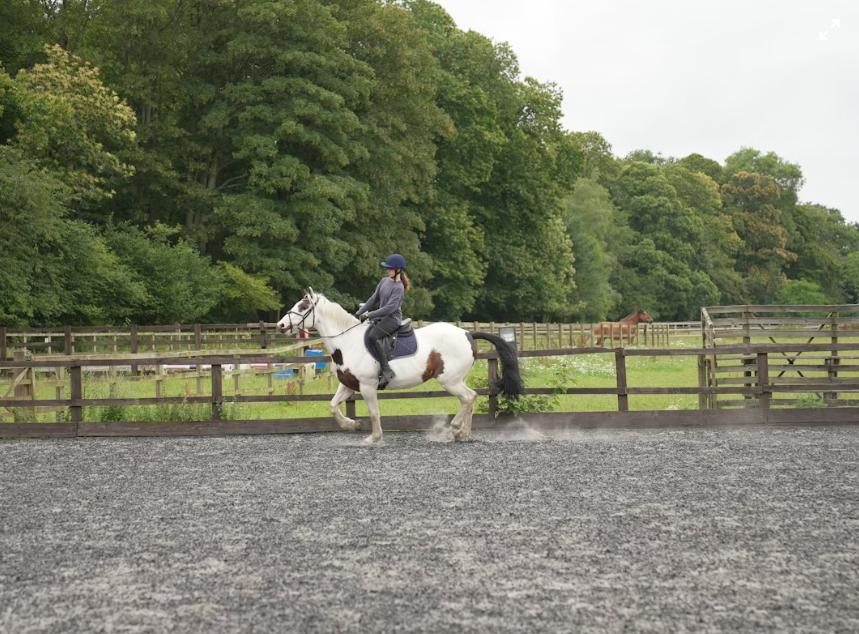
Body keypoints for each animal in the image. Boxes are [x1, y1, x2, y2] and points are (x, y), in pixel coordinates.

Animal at [277, 289, 523, 444]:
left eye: (304, 306)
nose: (280, 325)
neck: (347, 342)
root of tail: (467, 333)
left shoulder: (367, 387)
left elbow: (374, 412)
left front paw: (373, 438)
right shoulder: (348, 386)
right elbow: (333, 406)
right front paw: (352, 426)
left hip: (449, 380)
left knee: (470, 397)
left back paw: (455, 428)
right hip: (456, 379)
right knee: (469, 400)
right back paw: (463, 434)